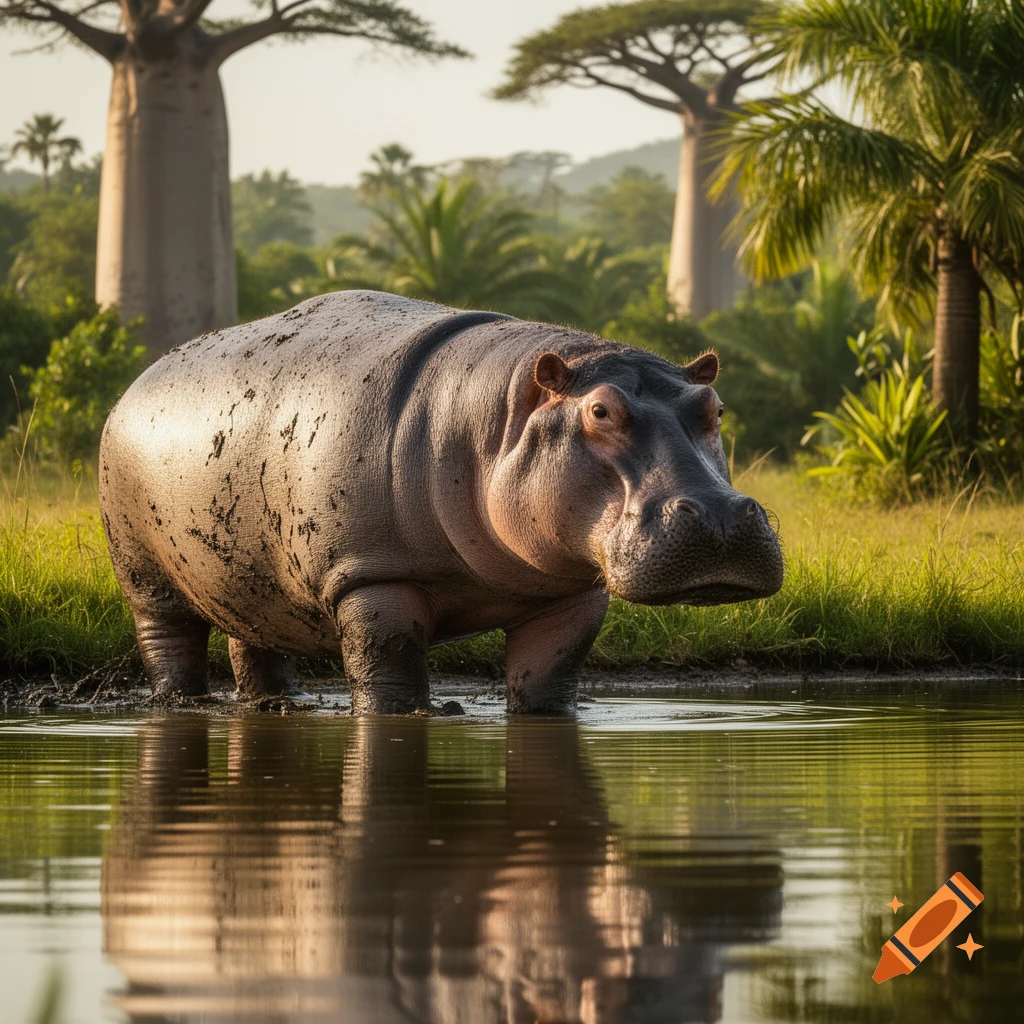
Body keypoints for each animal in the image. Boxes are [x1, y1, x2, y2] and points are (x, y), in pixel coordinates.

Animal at [99, 290, 782, 713]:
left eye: (715, 408)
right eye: (600, 411)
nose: (722, 516)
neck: (499, 420)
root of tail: (137, 382)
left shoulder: (570, 594)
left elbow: (550, 675)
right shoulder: (374, 577)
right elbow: (390, 665)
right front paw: (411, 713)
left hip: (249, 572)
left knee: (253, 636)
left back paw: (279, 703)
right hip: (144, 574)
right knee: (170, 640)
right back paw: (180, 701)